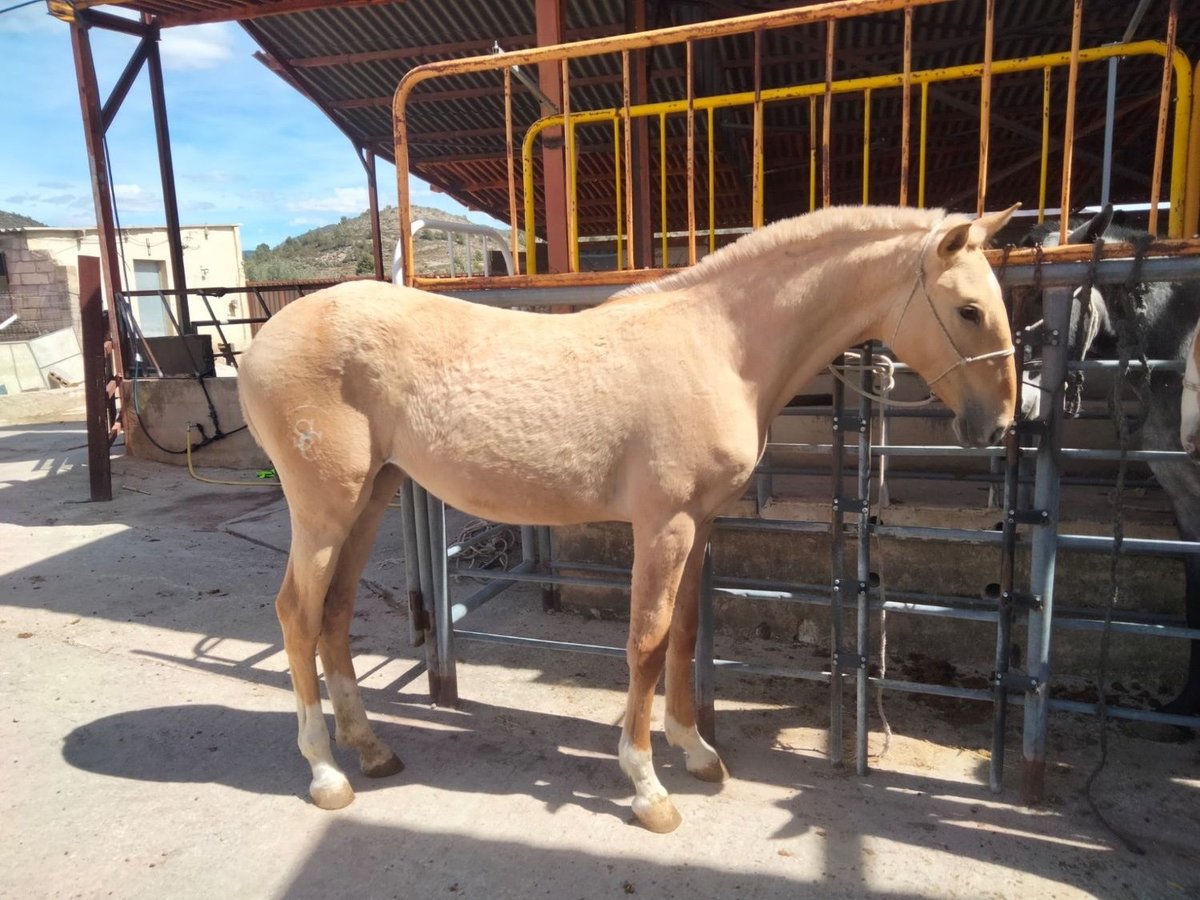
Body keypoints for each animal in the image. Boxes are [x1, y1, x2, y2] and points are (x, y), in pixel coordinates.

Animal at [238, 202, 1017, 830]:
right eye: (968, 310)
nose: (1001, 423)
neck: (721, 344)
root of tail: (264, 339)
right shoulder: (663, 525)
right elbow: (647, 642)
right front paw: (647, 785)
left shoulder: (701, 525)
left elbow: (687, 633)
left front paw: (695, 751)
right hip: (326, 508)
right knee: (296, 615)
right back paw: (327, 772)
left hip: (372, 496)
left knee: (335, 614)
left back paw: (371, 749)